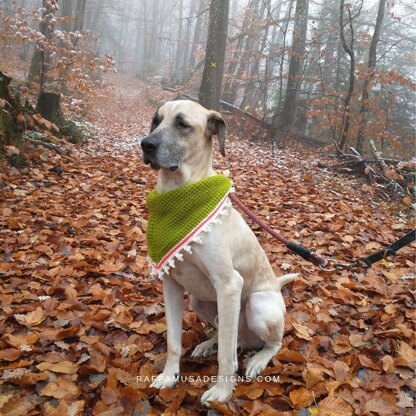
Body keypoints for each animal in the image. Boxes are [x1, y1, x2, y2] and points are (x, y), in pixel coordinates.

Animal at [141, 99, 298, 404]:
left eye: (182, 123)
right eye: (156, 120)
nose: (145, 144)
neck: (180, 192)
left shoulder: (229, 285)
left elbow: (227, 356)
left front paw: (222, 392)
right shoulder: (172, 283)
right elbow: (173, 341)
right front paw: (169, 376)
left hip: (257, 304)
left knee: (270, 342)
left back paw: (258, 359)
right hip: (200, 301)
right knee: (230, 336)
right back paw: (208, 344)